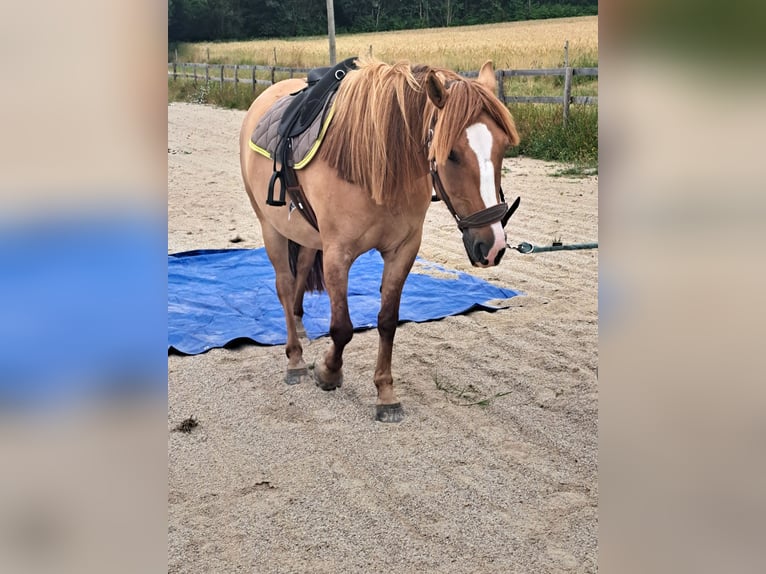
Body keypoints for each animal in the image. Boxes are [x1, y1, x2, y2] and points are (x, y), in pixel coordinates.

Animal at [239, 57, 520, 422]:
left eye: (502, 148)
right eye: (453, 154)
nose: (493, 245)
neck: (380, 167)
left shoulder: (403, 251)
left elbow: (387, 321)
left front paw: (386, 393)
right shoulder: (337, 254)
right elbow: (342, 327)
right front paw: (328, 372)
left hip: (307, 235)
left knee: (299, 274)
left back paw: (299, 327)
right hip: (270, 228)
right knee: (285, 286)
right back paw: (295, 359)